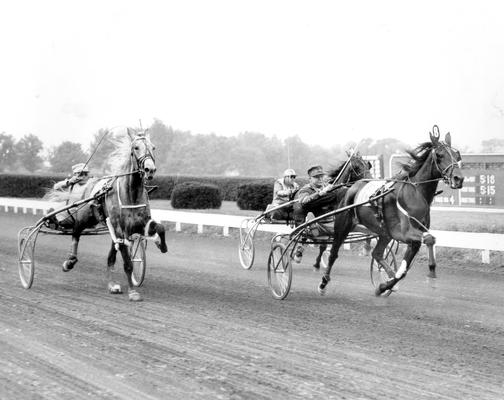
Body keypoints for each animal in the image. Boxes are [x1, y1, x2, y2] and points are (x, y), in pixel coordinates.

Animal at [318, 126, 464, 296]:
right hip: (343, 224)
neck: (414, 193)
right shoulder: (403, 232)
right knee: (334, 253)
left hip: (384, 232)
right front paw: (430, 272)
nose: (458, 178)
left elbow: (410, 262)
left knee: (377, 253)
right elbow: (428, 240)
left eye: (457, 155)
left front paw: (385, 285)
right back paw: (323, 283)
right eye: (440, 155)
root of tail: (352, 187)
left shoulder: (412, 234)